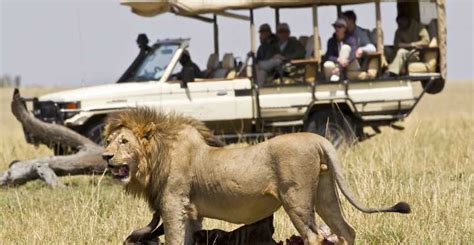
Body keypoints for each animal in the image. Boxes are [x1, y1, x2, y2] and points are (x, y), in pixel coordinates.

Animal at [103, 108, 412, 244]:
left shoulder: (174, 207)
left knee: (315, 237)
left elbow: (175, 241)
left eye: (124, 142)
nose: (105, 156)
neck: (156, 157)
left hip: (296, 201)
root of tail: (317, 139)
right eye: (108, 141)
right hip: (325, 195)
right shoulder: (192, 214)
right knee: (345, 231)